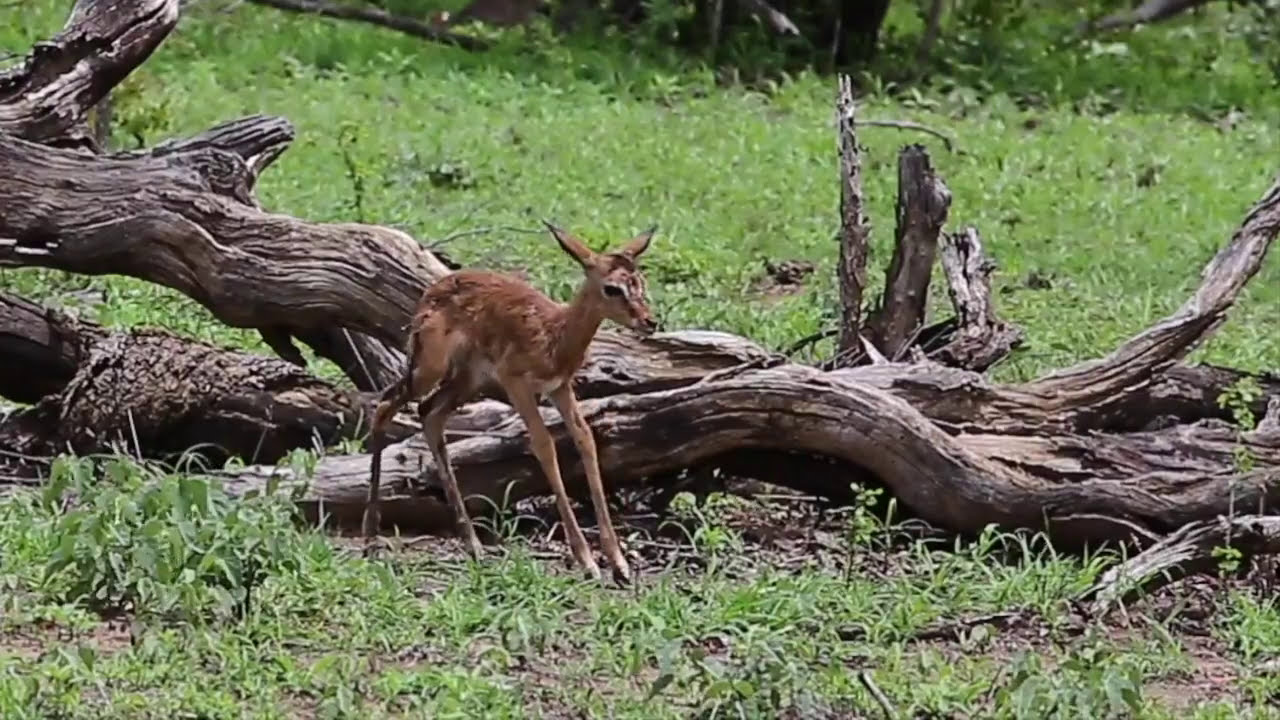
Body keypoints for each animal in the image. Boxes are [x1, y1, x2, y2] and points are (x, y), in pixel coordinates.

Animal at [364, 221, 660, 584]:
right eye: (612, 288)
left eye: (639, 282)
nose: (649, 322)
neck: (554, 334)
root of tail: (432, 293)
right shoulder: (516, 384)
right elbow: (544, 445)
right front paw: (587, 561)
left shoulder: (559, 388)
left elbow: (586, 439)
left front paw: (619, 563)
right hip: (429, 371)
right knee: (384, 405)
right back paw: (371, 537)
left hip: (466, 380)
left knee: (429, 414)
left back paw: (474, 545)